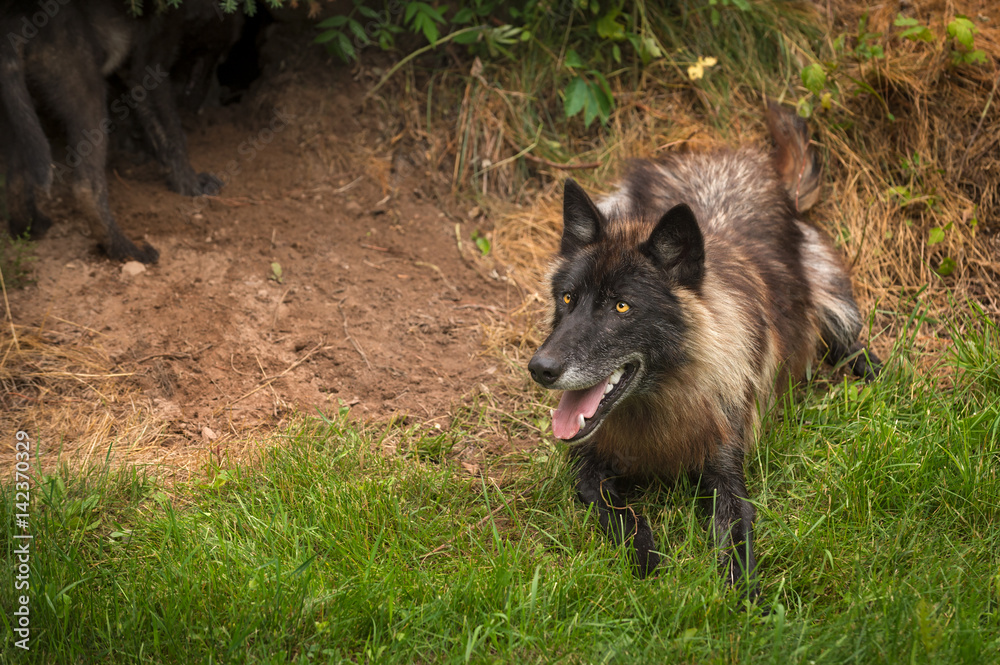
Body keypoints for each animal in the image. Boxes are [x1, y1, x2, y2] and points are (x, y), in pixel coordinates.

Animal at [0, 0, 229, 262]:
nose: (201, 104)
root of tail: (16, 16)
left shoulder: (136, 74)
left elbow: (157, 130)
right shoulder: (150, 64)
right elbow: (173, 132)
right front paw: (190, 184)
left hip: (16, 112)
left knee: (16, 178)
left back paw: (30, 228)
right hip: (88, 92)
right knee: (86, 187)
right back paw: (126, 251)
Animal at [528, 102, 880, 595]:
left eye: (621, 306)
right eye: (566, 299)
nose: (540, 368)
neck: (661, 407)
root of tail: (750, 162)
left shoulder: (727, 474)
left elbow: (736, 537)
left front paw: (745, 599)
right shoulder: (588, 472)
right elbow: (625, 518)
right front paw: (652, 569)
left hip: (833, 305)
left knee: (847, 341)